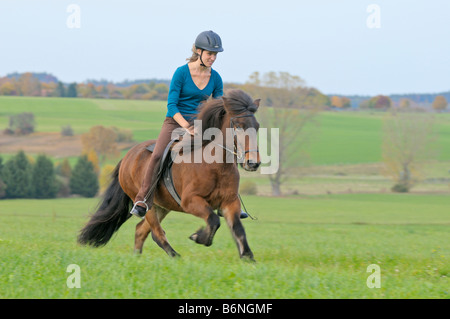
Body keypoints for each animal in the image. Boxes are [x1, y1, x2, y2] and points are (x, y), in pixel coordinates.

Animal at [77, 89, 260, 262]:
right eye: (238, 126)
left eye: (257, 126)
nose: (253, 163)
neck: (215, 166)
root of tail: (127, 157)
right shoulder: (191, 201)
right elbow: (214, 220)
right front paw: (198, 237)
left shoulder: (230, 202)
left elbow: (238, 228)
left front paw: (248, 256)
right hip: (146, 203)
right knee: (156, 233)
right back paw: (175, 256)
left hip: (162, 206)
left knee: (140, 230)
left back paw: (137, 257)